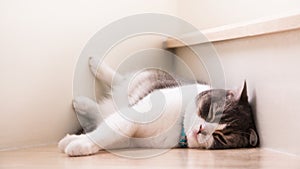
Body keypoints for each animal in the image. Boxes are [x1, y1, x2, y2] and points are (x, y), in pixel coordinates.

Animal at [58, 56, 258, 156]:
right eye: (212, 113)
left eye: (221, 137)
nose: (202, 129)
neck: (179, 124)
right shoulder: (134, 117)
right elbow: (110, 131)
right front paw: (77, 142)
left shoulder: (133, 139)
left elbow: (110, 135)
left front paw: (78, 143)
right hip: (138, 81)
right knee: (118, 79)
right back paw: (95, 67)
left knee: (103, 112)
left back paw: (83, 106)